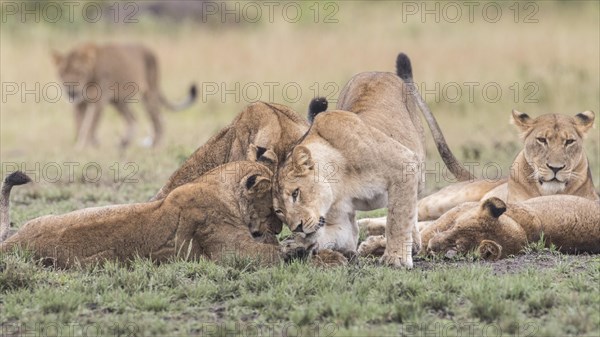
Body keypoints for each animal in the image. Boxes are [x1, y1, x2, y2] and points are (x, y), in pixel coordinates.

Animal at [52, 42, 196, 148]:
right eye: (62, 73)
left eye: (79, 72)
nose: (70, 90)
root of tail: (150, 50)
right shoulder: (79, 104)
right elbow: (79, 124)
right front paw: (86, 144)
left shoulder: (99, 101)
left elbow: (90, 125)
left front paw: (84, 147)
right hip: (118, 101)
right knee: (133, 119)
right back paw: (124, 142)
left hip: (149, 93)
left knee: (158, 119)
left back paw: (155, 145)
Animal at [274, 52, 474, 268]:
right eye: (279, 211)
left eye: (296, 193)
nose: (297, 227)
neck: (341, 182)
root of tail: (377, 71)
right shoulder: (341, 219)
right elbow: (336, 235)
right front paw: (294, 247)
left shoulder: (404, 165)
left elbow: (397, 218)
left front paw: (395, 258)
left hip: (418, 171)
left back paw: (412, 243)